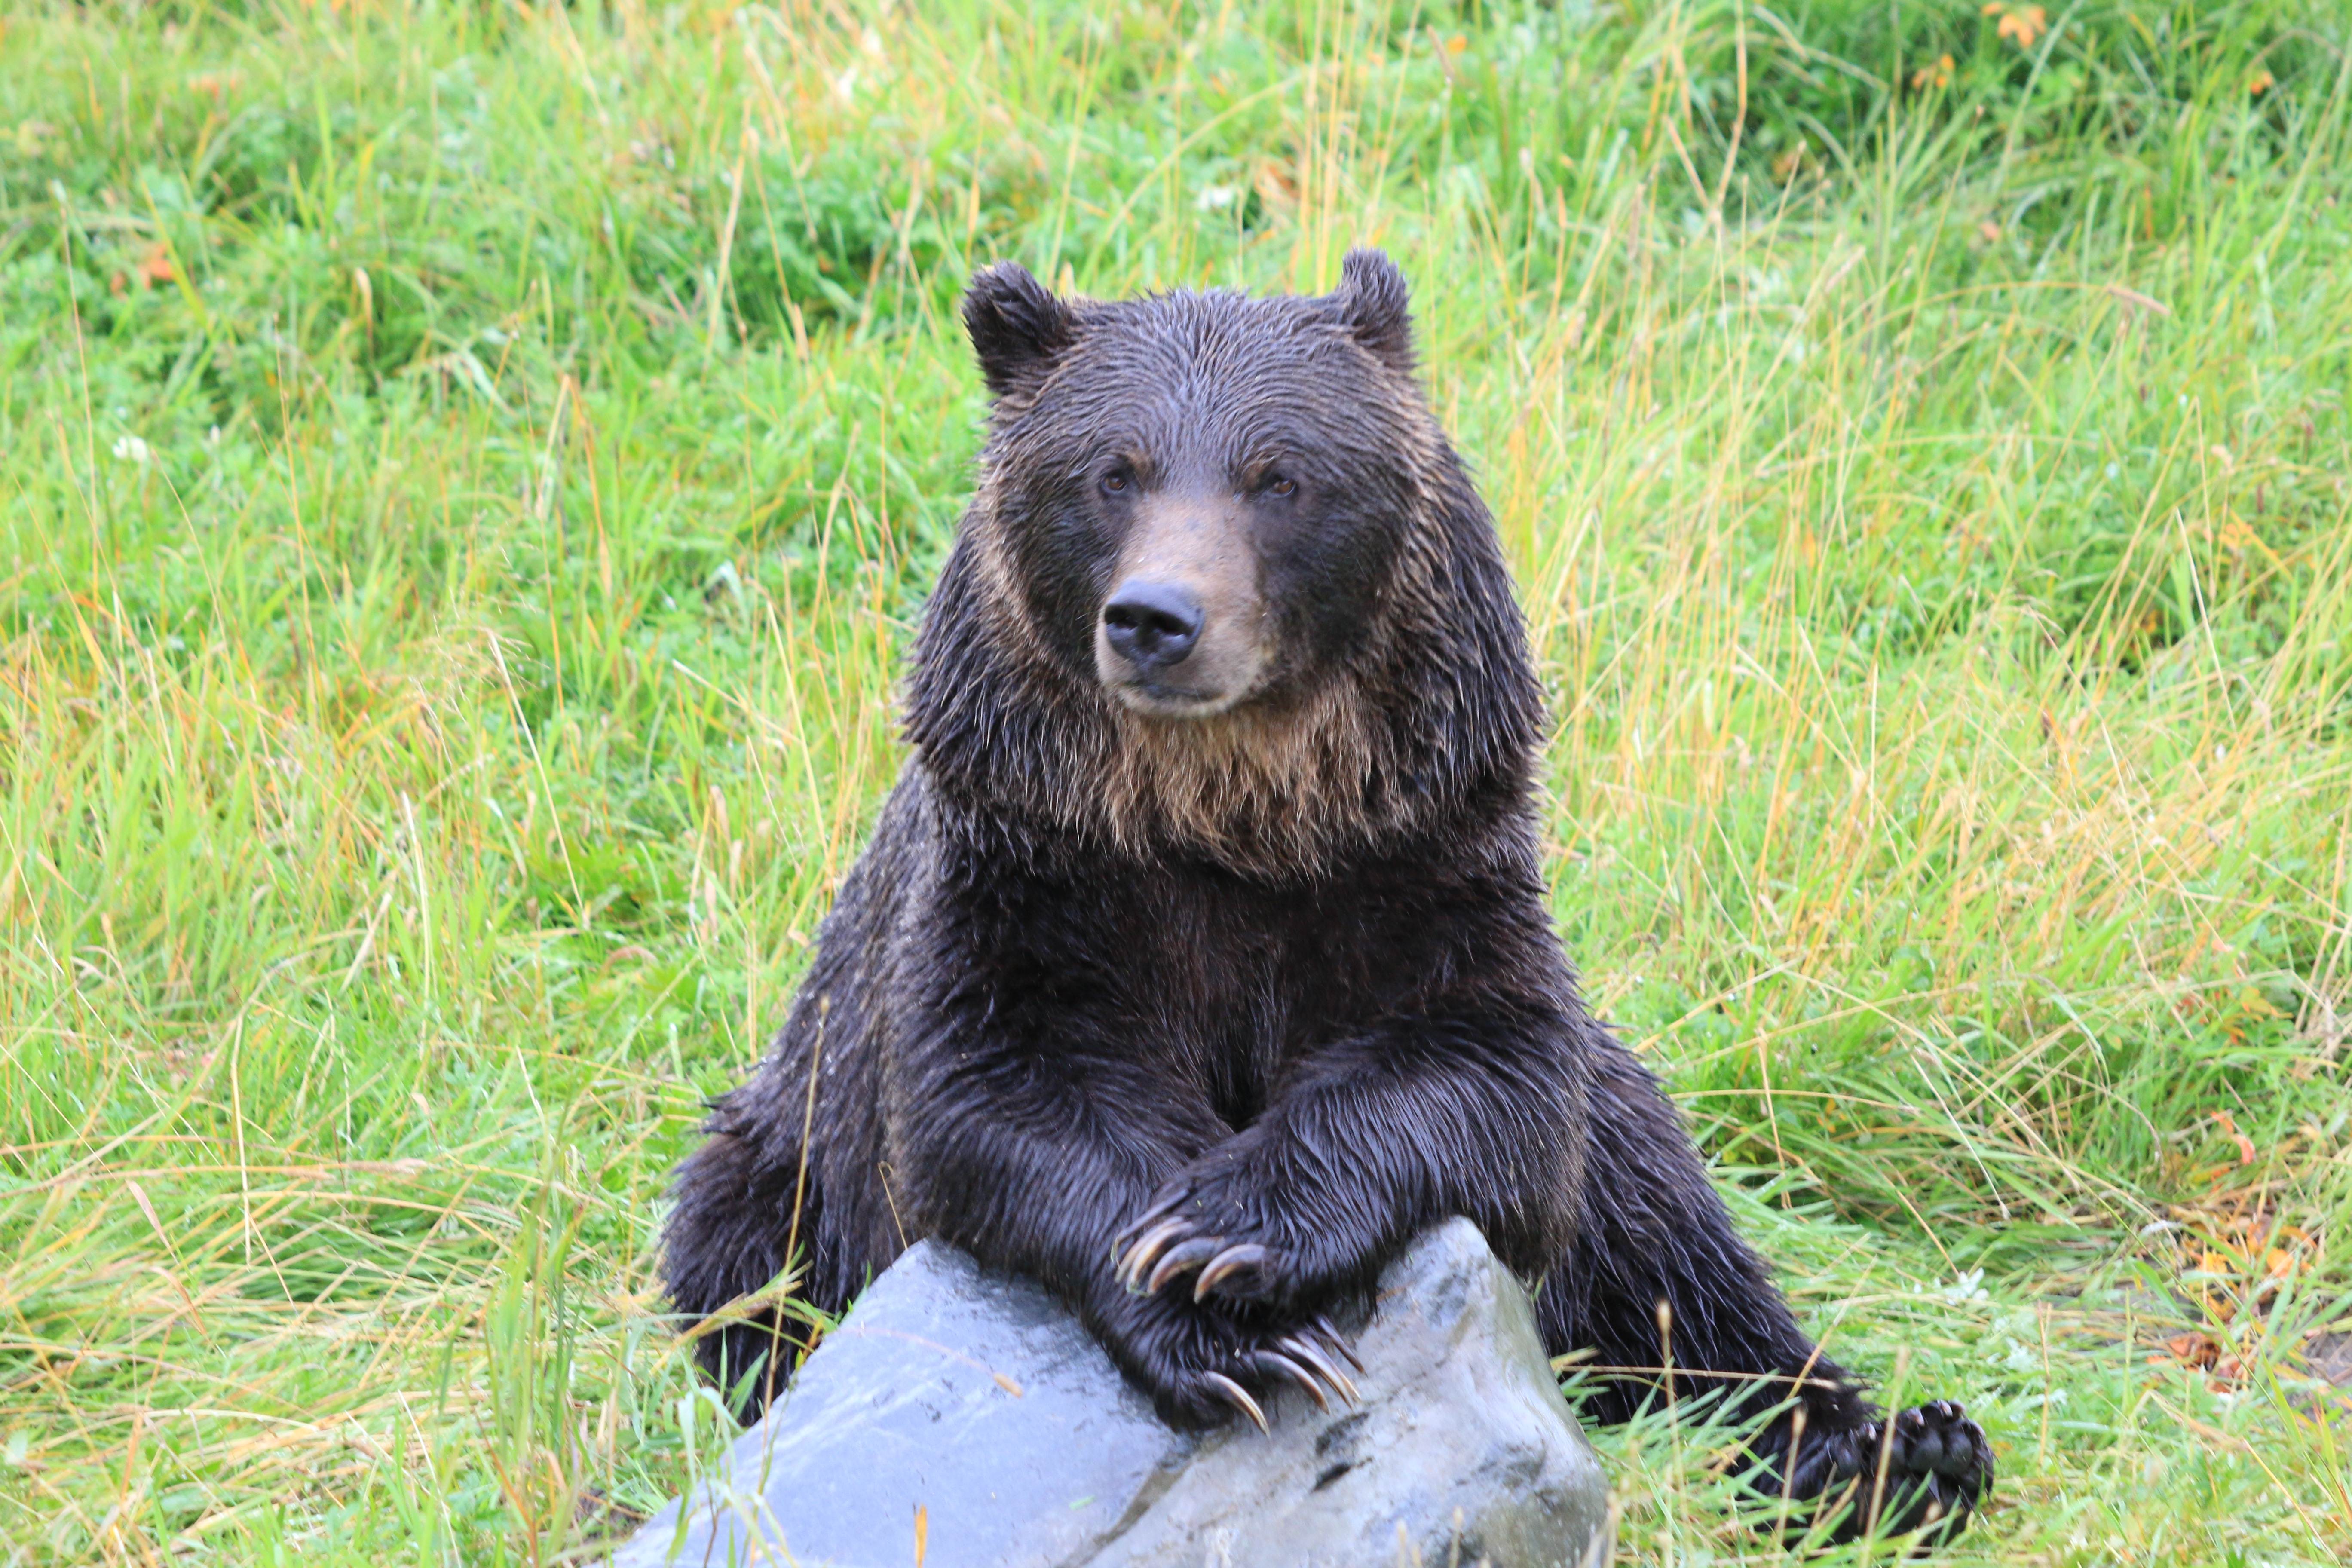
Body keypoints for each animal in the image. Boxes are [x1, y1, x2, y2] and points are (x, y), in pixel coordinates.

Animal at [661, 251, 1993, 1541]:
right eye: (1112, 470)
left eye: (1277, 475)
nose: (1157, 619)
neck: (1229, 816)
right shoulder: (1031, 869)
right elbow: (996, 1096)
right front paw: (1227, 1330)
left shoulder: (1420, 856)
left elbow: (1493, 1080)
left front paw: (1229, 1231)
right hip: (780, 1154)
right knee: (741, 1267)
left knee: (1663, 1236)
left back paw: (1893, 1452)